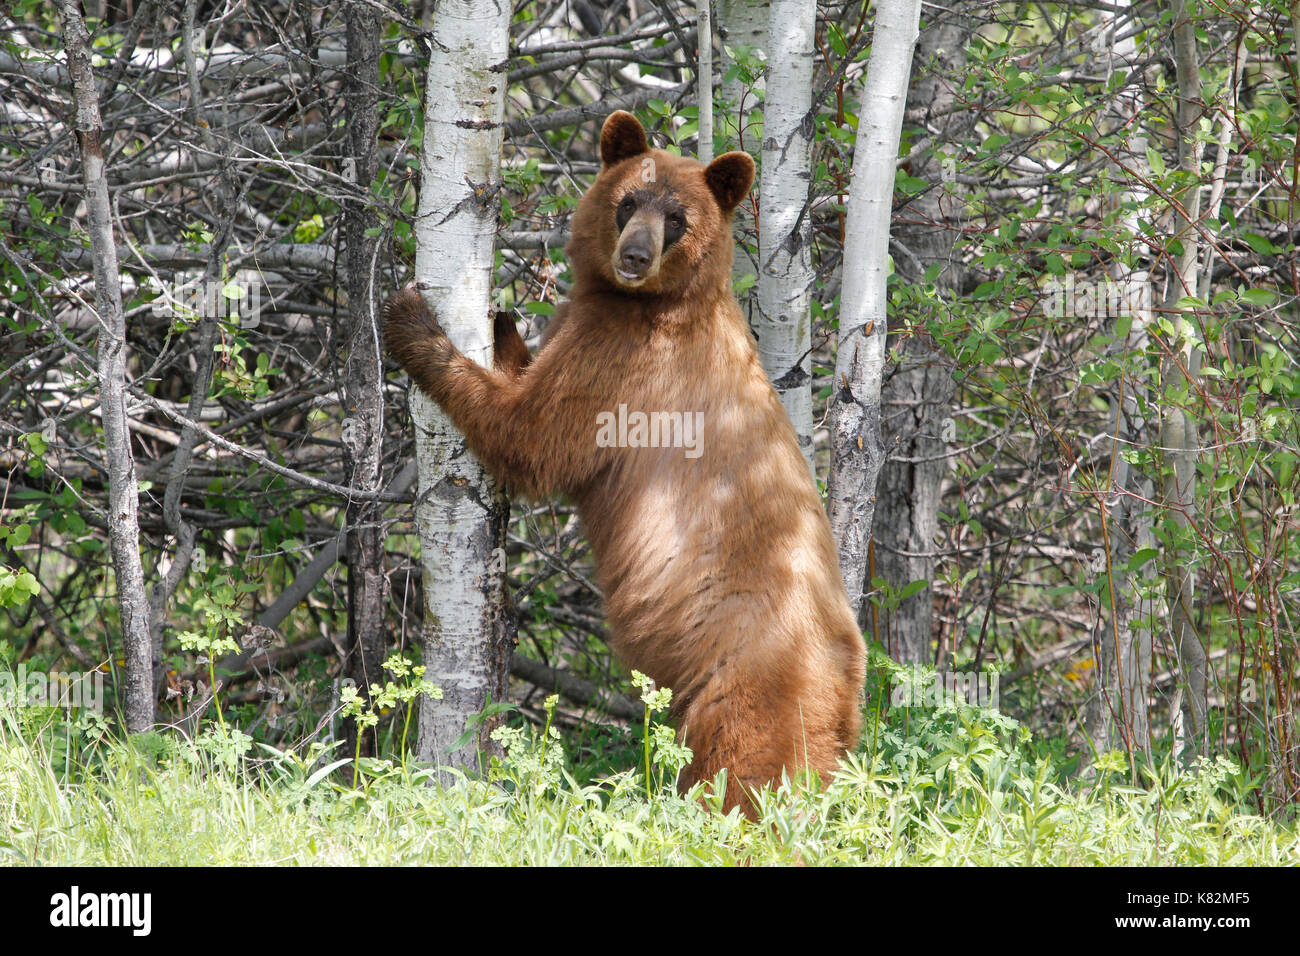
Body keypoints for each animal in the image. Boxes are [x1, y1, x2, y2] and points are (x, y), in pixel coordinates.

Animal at [379, 111, 863, 816]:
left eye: (677, 218)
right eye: (628, 201)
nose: (634, 257)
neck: (657, 299)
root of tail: (847, 686)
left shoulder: (627, 361)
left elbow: (533, 436)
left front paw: (413, 321)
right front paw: (503, 323)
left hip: (746, 680)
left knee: (742, 770)